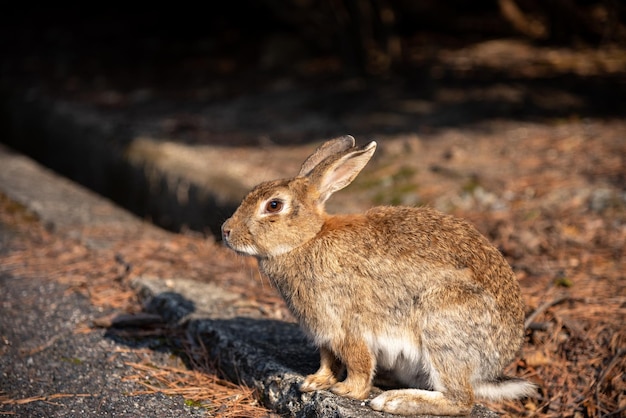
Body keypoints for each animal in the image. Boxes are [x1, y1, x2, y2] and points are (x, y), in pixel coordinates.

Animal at [219, 136, 532, 414]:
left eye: (273, 205)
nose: (226, 231)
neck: (306, 239)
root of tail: (492, 366)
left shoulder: (347, 325)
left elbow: (357, 362)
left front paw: (347, 390)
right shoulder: (323, 333)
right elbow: (327, 360)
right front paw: (313, 383)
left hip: (444, 324)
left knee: (460, 400)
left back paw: (393, 401)